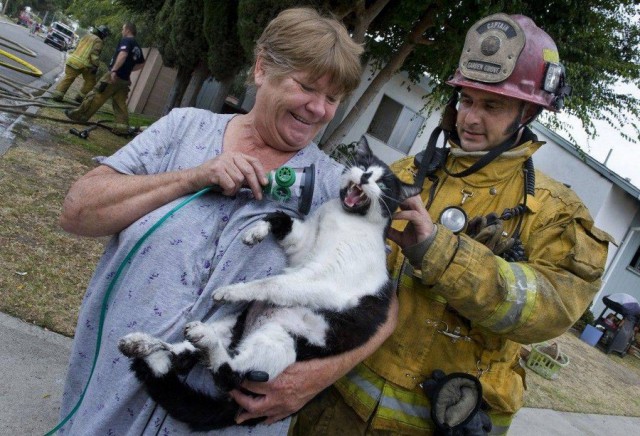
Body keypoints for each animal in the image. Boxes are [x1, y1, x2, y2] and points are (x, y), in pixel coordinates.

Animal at [119, 138, 420, 430]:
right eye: (364, 165)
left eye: (383, 184)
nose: (366, 176)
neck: (344, 216)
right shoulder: (302, 248)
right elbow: (280, 217)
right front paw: (256, 232)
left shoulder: (322, 280)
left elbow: (273, 283)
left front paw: (231, 290)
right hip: (233, 324)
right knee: (181, 355)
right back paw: (143, 344)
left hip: (280, 343)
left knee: (229, 374)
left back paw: (200, 342)